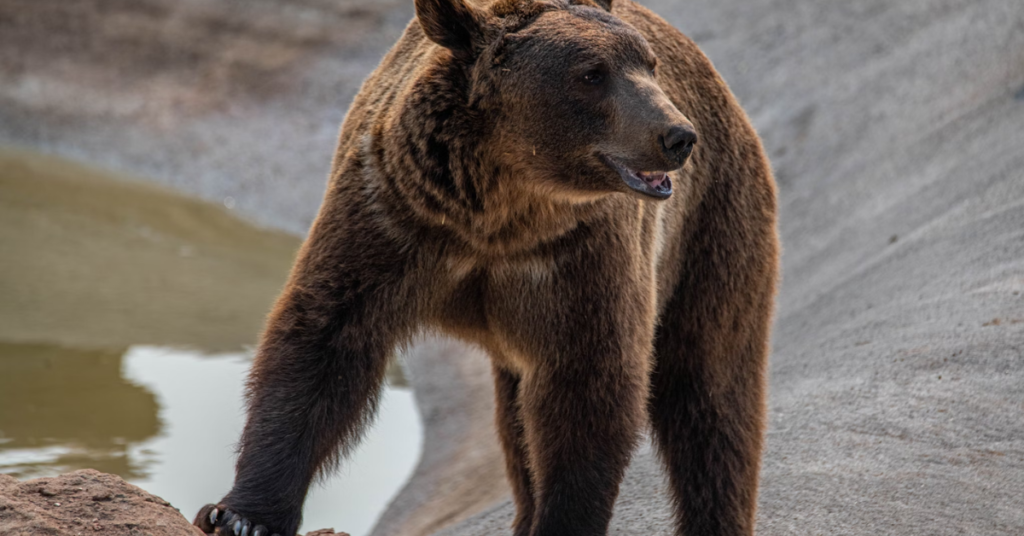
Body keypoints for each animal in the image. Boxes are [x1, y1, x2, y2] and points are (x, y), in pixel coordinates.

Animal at [190, 1, 774, 536]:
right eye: (591, 73)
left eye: (648, 64)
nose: (676, 136)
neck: (501, 210)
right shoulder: (394, 217)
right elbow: (322, 342)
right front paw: (241, 515)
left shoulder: (582, 256)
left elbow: (590, 383)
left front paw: (563, 521)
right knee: (520, 420)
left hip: (712, 229)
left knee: (710, 395)